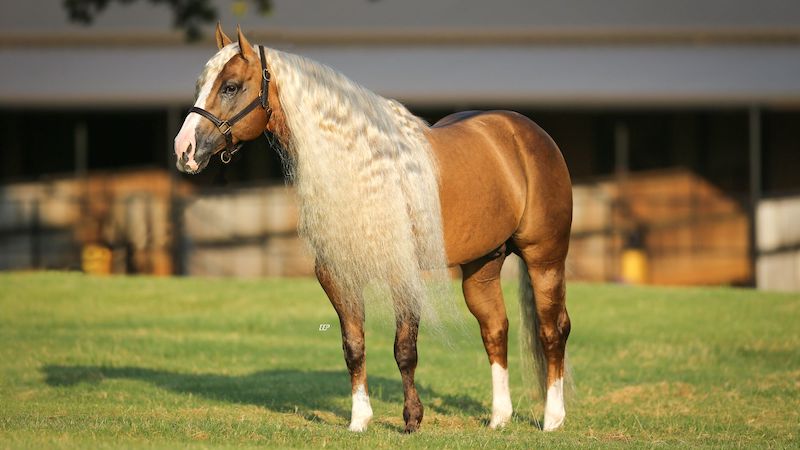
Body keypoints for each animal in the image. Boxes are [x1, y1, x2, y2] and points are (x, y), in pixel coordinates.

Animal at [174, 25, 573, 434]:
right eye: (201, 85)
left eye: (231, 86)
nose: (183, 150)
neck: (364, 171)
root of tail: (525, 132)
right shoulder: (337, 274)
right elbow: (354, 346)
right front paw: (359, 420)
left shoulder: (403, 274)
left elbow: (405, 349)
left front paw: (412, 420)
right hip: (483, 265)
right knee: (495, 329)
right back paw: (499, 418)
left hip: (545, 258)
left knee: (552, 329)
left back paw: (553, 418)